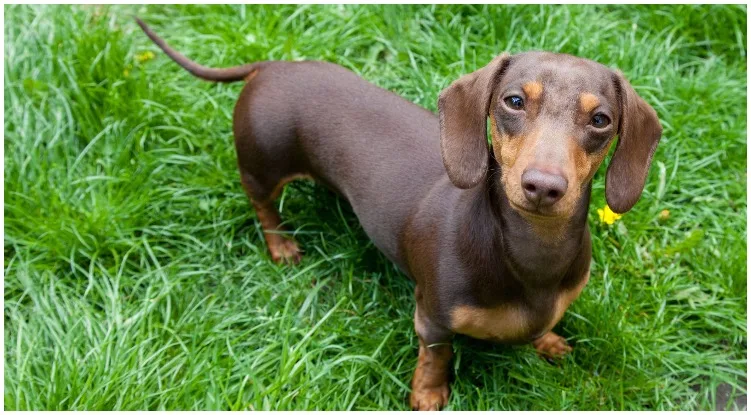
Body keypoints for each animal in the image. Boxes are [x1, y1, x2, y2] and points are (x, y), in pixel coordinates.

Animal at [137, 17, 664, 412]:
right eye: (514, 101)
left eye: (601, 120)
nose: (544, 187)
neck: (531, 253)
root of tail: (271, 65)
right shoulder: (431, 316)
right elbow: (436, 356)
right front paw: (428, 395)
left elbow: (545, 324)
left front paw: (548, 342)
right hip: (261, 165)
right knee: (263, 205)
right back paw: (281, 244)